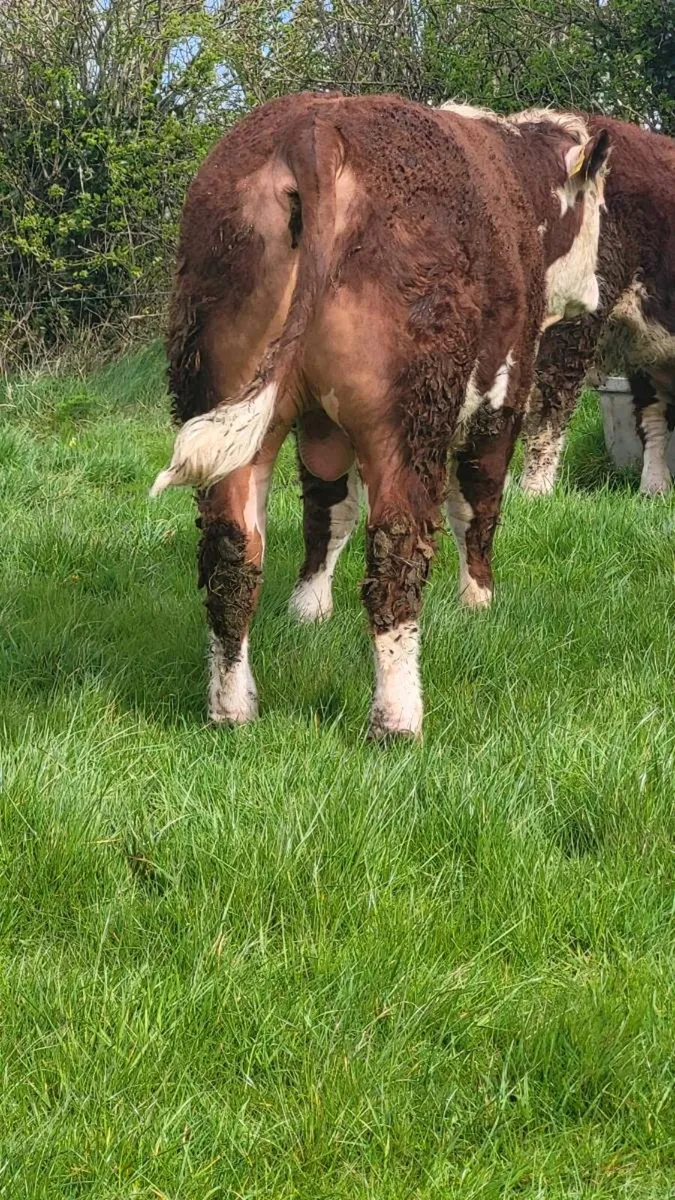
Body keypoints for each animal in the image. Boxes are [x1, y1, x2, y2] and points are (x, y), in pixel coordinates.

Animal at [151, 92, 609, 738]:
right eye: (597, 204)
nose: (593, 291)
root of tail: (314, 134)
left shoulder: (320, 423)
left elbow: (329, 509)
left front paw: (309, 607)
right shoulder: (504, 395)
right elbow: (478, 504)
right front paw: (479, 599)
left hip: (228, 392)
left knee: (232, 549)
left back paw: (231, 709)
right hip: (406, 417)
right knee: (396, 546)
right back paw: (397, 718)